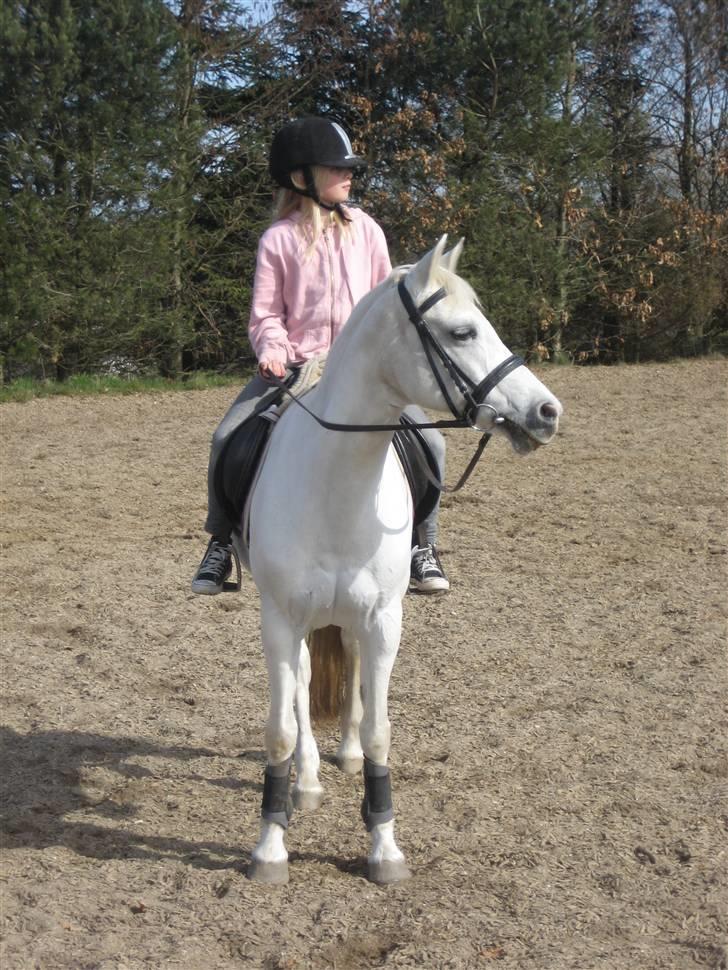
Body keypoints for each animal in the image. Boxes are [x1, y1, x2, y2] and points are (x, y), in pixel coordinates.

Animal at [236, 234, 560, 884]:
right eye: (462, 332)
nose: (547, 411)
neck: (337, 483)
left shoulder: (384, 619)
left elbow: (382, 732)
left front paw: (384, 846)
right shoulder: (279, 620)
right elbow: (279, 731)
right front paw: (271, 846)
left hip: (354, 618)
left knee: (350, 666)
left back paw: (343, 755)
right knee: (304, 683)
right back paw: (308, 781)